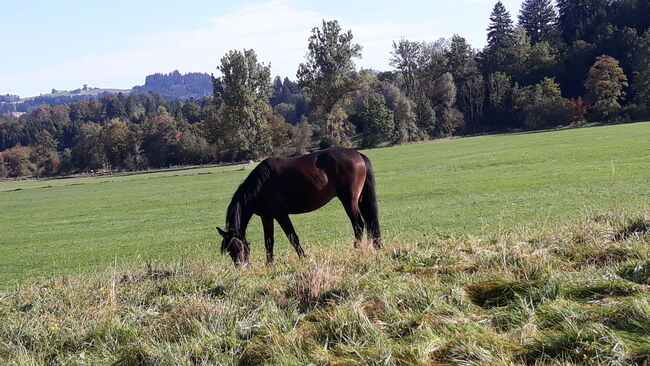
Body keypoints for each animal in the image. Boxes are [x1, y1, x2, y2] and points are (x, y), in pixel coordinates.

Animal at [215, 147, 382, 266]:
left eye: (240, 247)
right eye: (229, 251)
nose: (240, 267)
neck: (260, 185)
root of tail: (358, 154)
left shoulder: (281, 215)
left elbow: (292, 237)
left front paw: (303, 257)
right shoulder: (267, 217)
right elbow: (269, 240)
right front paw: (269, 264)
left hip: (349, 201)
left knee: (359, 225)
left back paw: (356, 250)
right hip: (360, 200)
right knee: (369, 223)